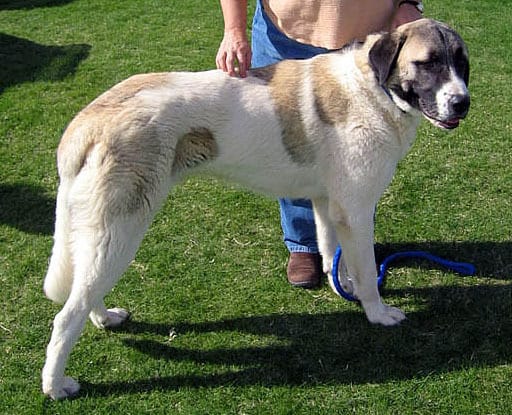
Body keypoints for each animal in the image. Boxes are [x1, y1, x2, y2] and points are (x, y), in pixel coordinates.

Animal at [42, 19, 470, 400]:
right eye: (428, 63)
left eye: (461, 63)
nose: (462, 102)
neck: (371, 88)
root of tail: (87, 121)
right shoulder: (357, 210)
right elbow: (366, 272)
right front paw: (377, 313)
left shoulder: (329, 205)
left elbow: (334, 255)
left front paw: (342, 288)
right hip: (122, 229)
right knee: (66, 315)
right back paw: (56, 386)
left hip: (103, 233)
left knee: (84, 290)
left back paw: (104, 319)